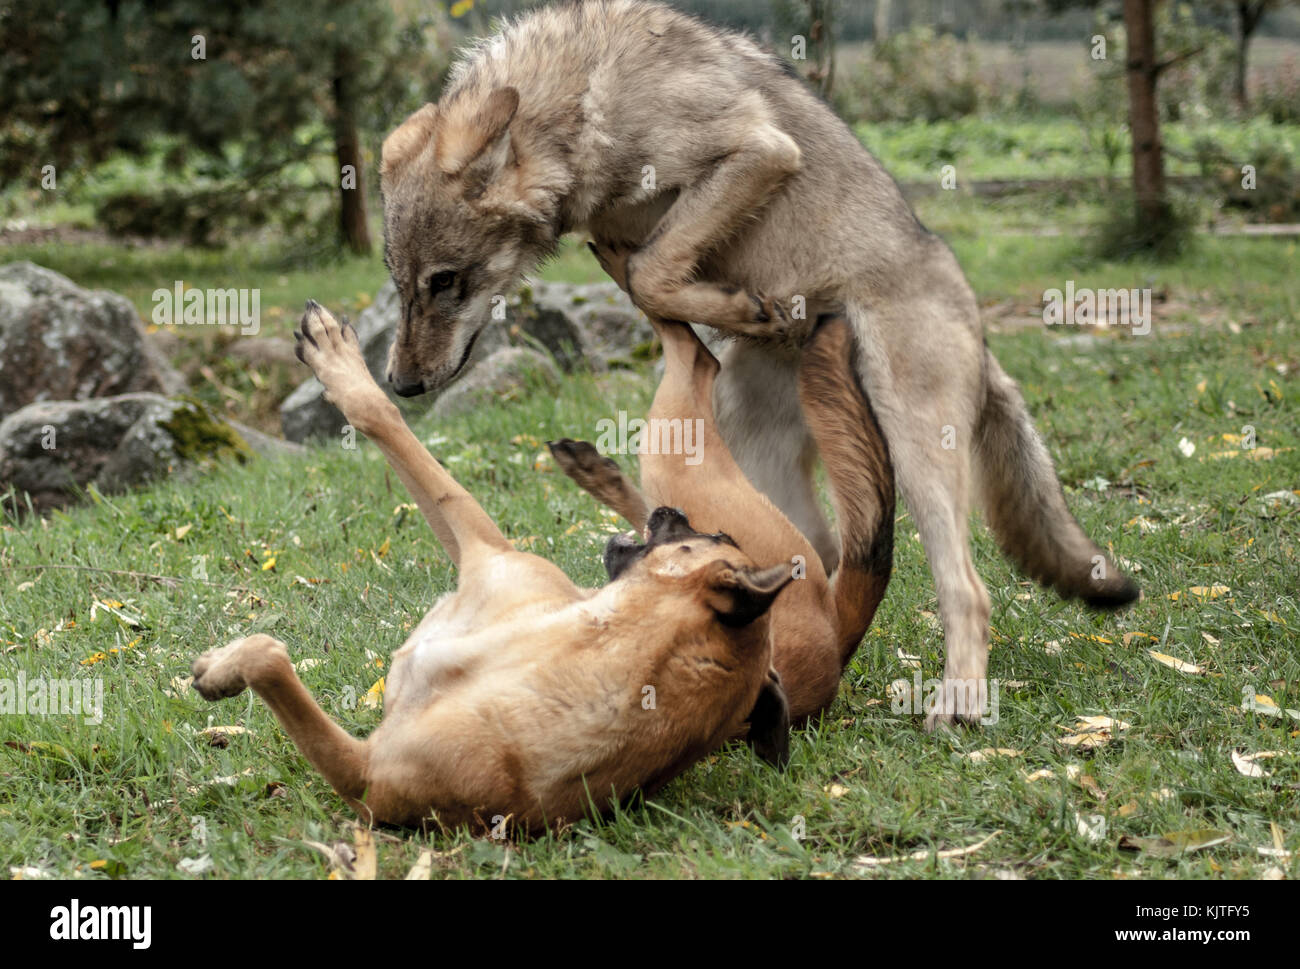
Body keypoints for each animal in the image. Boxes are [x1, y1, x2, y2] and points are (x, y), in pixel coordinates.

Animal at [377, 0, 1139, 727]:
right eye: (400, 281)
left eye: (446, 281)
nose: (400, 384)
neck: (582, 100)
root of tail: (981, 337)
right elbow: (649, 271)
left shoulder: (759, 150)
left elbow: (652, 269)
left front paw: (743, 307)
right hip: (750, 447)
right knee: (787, 547)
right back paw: (602, 473)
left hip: (917, 450)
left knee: (964, 589)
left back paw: (958, 703)